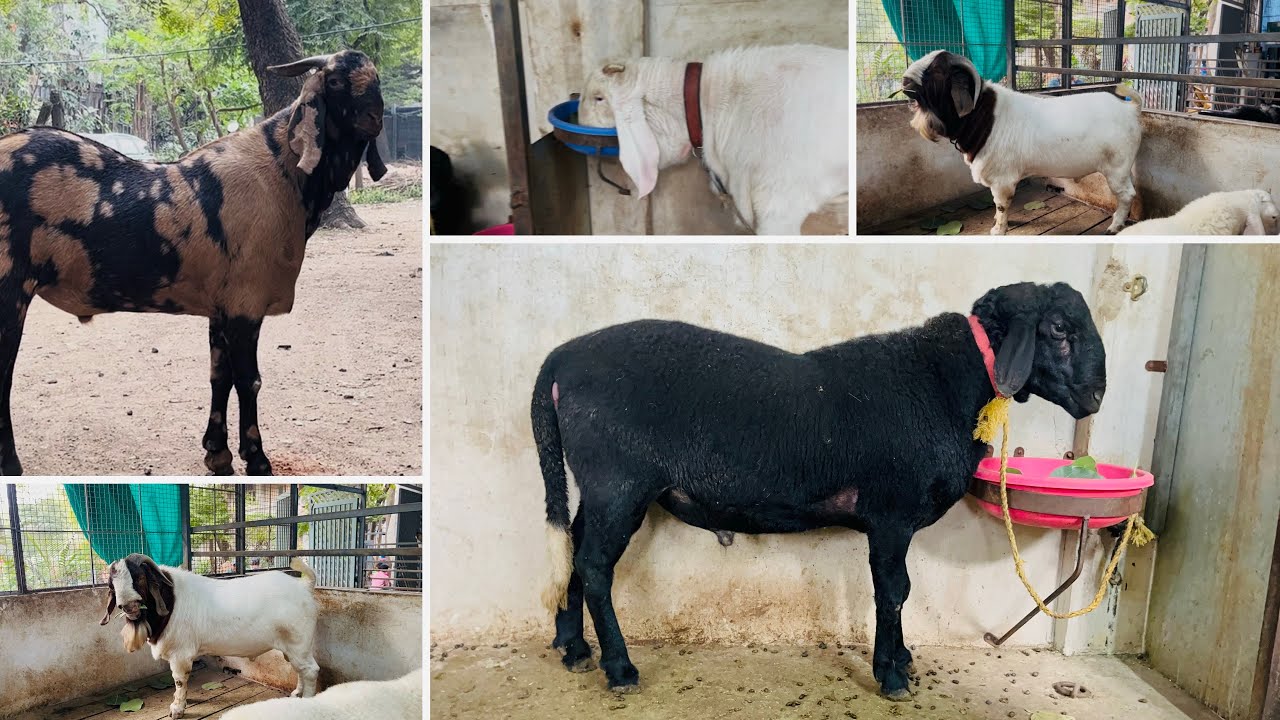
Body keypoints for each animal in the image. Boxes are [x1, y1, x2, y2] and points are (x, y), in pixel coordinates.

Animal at [0, 50, 387, 476]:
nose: (376, 117)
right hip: (9, 289)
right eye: (333, 81)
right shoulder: (246, 304)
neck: (279, 171)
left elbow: (220, 377)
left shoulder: (223, 305)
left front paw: (218, 453)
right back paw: (11, 465)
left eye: (376, 79)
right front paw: (257, 459)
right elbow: (249, 380)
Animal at [99, 553, 320, 719]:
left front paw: (177, 709)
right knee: (300, 669)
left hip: (298, 642)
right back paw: (297, 693)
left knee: (310, 670)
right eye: (112, 584)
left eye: (139, 577)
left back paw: (307, 701)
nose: (128, 606)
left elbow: (179, 680)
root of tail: (304, 585)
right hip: (295, 647)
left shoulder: (180, 654)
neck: (172, 601)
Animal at [533, 282, 1106, 700]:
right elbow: (894, 591)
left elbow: (899, 592)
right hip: (619, 483)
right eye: (1058, 329)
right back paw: (619, 668)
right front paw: (892, 675)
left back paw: (573, 648)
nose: (1097, 395)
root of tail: (559, 360)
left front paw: (901, 660)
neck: (950, 384)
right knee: (595, 566)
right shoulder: (892, 513)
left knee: (573, 552)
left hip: (598, 487)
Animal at [901, 50, 1142, 235]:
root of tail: (1130, 108)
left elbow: (1001, 205)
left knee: (1127, 195)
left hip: (1117, 169)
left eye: (935, 71)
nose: (904, 80)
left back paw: (1113, 226)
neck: (984, 117)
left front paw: (998, 230)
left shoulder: (1002, 180)